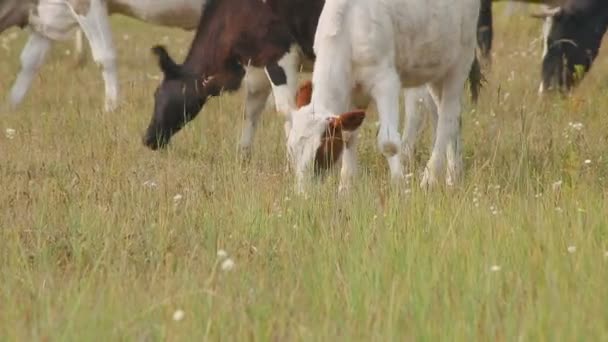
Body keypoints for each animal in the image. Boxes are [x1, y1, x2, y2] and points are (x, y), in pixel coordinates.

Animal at [284, 0, 480, 192]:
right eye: (291, 150)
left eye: (323, 150)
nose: (304, 193)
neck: (349, 27)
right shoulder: (353, 92)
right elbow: (349, 137)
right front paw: (345, 188)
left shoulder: (386, 81)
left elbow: (388, 143)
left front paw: (400, 187)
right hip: (436, 70)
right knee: (449, 117)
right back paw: (454, 176)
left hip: (460, 62)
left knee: (447, 119)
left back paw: (430, 179)